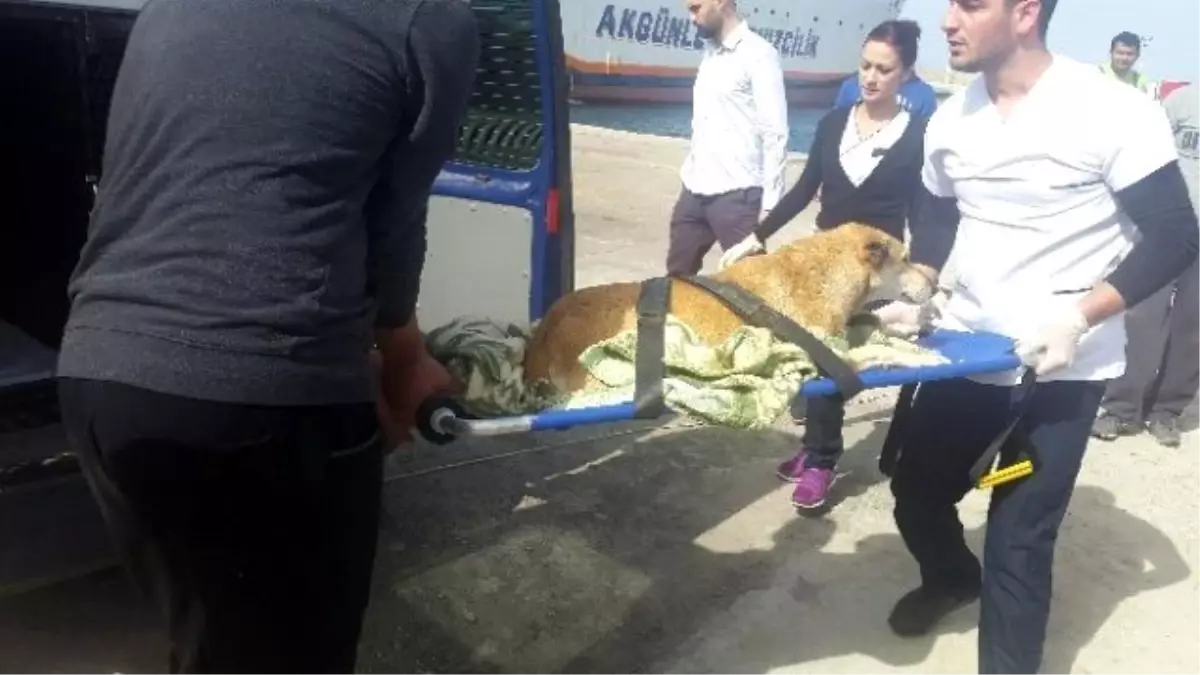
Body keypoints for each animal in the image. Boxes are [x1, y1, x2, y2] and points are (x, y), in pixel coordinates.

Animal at [525, 220, 936, 391]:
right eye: (907, 259)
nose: (936, 283)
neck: (824, 272)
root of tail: (544, 329)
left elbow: (877, 332)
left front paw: (908, 333)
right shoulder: (830, 357)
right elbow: (880, 352)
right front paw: (924, 357)